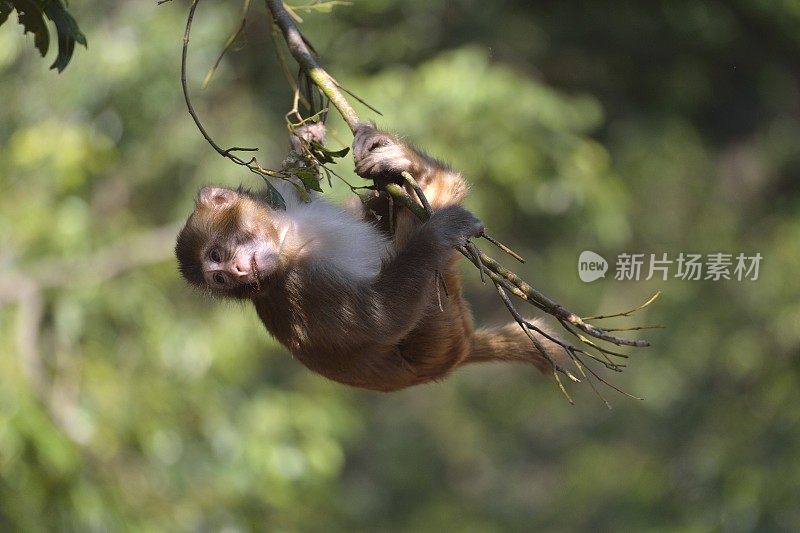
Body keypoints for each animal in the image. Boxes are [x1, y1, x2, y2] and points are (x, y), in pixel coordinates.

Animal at [175, 124, 564, 390]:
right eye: (220, 277)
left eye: (218, 255)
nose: (239, 270)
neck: (288, 242)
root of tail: (461, 352)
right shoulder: (300, 288)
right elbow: (381, 319)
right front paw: (435, 235)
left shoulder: (285, 202)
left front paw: (305, 140)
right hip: (439, 332)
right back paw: (437, 183)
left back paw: (406, 164)